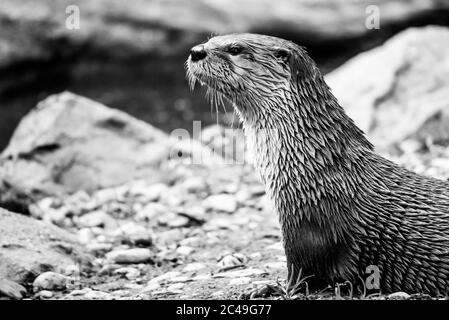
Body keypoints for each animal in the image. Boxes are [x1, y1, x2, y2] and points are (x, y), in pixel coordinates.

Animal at [185, 33, 448, 296]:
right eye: (212, 40)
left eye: (235, 49)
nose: (196, 51)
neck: (313, 167)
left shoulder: (309, 230)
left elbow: (301, 275)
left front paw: (267, 289)